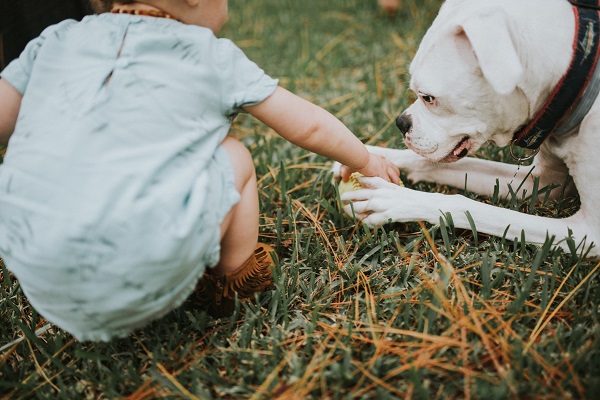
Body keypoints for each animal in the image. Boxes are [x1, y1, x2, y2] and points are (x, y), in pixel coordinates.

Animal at [336, 0, 600, 256]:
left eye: (428, 97)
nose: (401, 123)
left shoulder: (587, 232)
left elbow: (468, 205)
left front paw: (395, 198)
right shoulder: (543, 182)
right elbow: (426, 163)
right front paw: (372, 155)